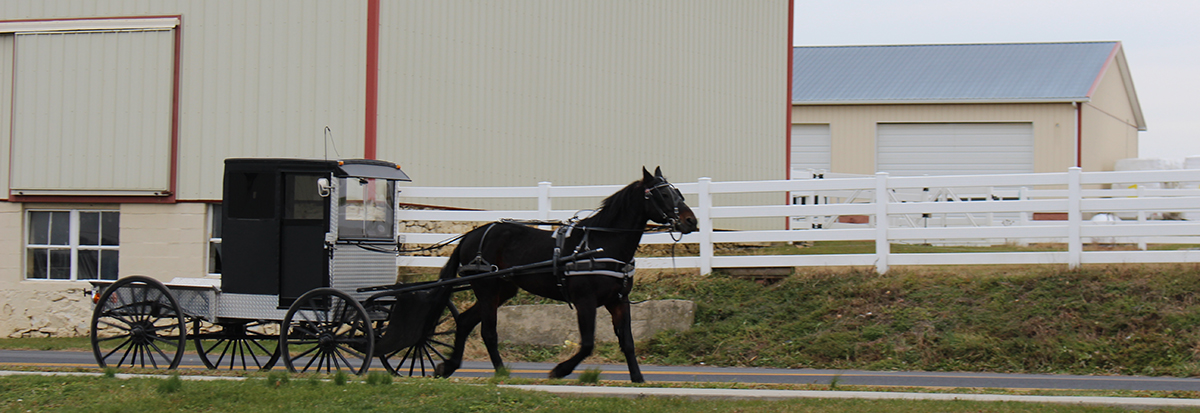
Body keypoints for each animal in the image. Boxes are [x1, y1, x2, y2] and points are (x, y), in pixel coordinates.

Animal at [432, 165, 700, 381]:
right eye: (663, 194)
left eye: (678, 193)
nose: (692, 221)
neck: (602, 243)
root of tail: (471, 235)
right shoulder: (585, 301)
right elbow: (588, 343)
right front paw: (560, 370)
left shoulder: (618, 300)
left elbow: (628, 342)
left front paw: (637, 379)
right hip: (487, 289)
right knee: (488, 332)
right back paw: (500, 372)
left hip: (503, 290)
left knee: (465, 321)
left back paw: (449, 366)